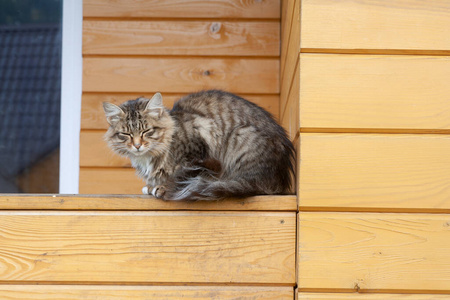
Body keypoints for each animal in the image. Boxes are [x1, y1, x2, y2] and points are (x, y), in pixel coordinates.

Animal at [103, 89, 298, 202]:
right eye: (126, 134)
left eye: (147, 131)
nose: (137, 146)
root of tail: (279, 179)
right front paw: (151, 187)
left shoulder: (200, 144)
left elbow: (182, 174)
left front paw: (163, 188)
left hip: (241, 136)